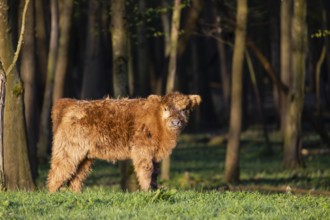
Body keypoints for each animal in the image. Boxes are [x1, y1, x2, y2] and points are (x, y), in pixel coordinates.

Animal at [46, 92, 201, 192]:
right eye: (166, 108)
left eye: (184, 109)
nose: (175, 122)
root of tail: (70, 103)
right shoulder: (143, 151)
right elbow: (146, 171)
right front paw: (147, 191)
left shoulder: (155, 154)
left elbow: (155, 173)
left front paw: (155, 190)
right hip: (69, 150)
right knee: (57, 172)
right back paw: (52, 194)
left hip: (85, 157)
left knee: (76, 177)